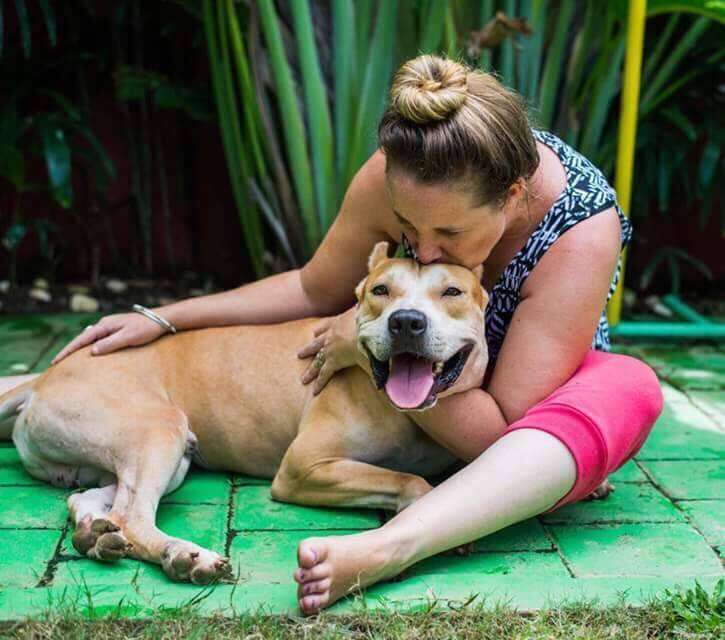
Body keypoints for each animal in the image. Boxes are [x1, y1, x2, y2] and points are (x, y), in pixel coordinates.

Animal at [0, 242, 490, 584]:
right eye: (380, 291)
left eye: (452, 292)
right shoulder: (303, 467)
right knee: (134, 517)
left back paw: (95, 535)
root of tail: (40, 380)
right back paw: (185, 557)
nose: (406, 321)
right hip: (158, 431)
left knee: (90, 500)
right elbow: (407, 479)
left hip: (151, 459)